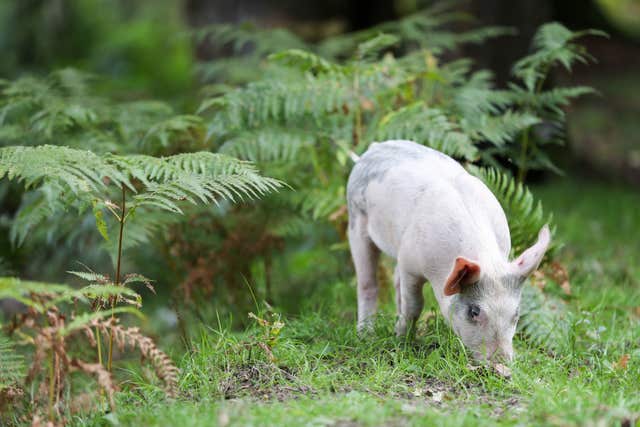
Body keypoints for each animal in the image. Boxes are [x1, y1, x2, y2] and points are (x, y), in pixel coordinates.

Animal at [344, 141, 552, 364]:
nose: (502, 364)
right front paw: (402, 340)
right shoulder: (411, 265)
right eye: (474, 311)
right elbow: (415, 305)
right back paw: (365, 334)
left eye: (516, 314)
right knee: (368, 283)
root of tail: (374, 148)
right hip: (356, 219)